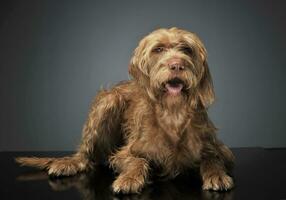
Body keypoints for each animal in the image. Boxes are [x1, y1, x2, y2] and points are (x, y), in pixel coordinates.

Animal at [15, 27, 235, 193]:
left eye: (186, 49)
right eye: (158, 49)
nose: (177, 65)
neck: (172, 113)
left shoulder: (218, 149)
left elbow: (212, 158)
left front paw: (217, 175)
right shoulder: (124, 153)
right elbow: (137, 161)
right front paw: (129, 179)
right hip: (107, 102)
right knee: (85, 156)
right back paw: (68, 163)